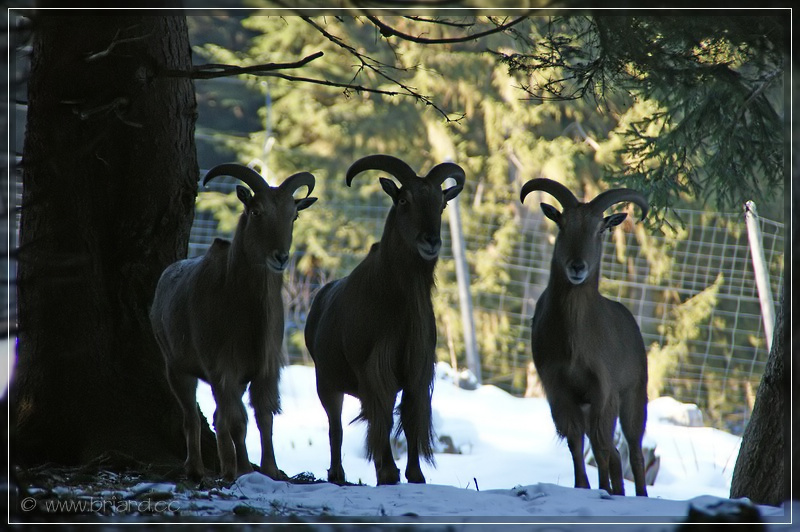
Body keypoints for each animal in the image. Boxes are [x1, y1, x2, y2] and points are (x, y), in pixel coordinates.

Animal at [150, 163, 316, 482]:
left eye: (294, 215)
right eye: (256, 211)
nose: (280, 257)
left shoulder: (264, 368)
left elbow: (263, 417)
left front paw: (269, 470)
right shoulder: (222, 366)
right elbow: (236, 420)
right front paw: (238, 471)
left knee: (219, 416)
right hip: (175, 366)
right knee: (193, 416)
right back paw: (197, 468)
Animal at [304, 154, 466, 486]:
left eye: (441, 203)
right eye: (404, 200)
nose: (431, 241)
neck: (399, 303)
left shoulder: (417, 371)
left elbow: (410, 416)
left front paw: (415, 474)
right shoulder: (374, 368)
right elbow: (382, 413)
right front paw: (390, 472)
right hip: (326, 380)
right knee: (336, 428)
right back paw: (337, 473)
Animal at [520, 178, 648, 494]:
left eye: (600, 228)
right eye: (562, 223)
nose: (577, 267)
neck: (574, 343)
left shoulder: (603, 389)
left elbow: (600, 447)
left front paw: (603, 490)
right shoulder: (560, 389)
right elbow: (576, 442)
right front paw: (583, 487)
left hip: (634, 394)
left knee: (633, 450)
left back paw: (638, 493)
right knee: (614, 451)